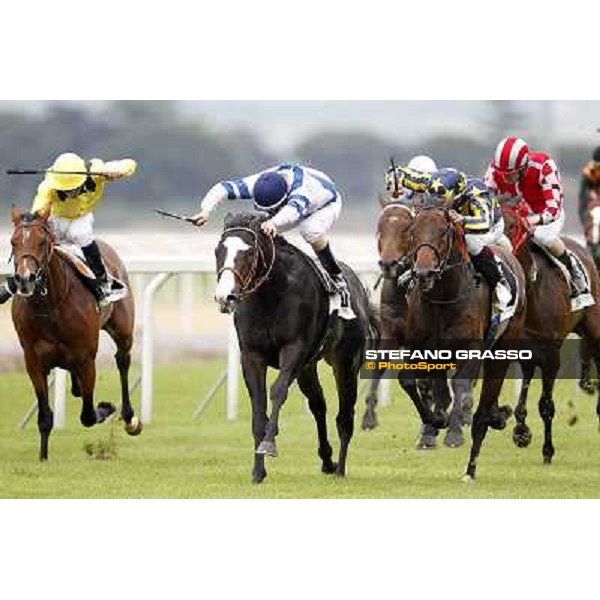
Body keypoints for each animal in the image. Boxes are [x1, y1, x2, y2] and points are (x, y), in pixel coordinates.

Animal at [9, 205, 143, 460]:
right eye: (13, 242)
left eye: (42, 242)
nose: (25, 279)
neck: (50, 305)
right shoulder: (33, 361)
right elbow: (45, 416)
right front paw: (43, 457)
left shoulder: (86, 358)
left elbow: (88, 415)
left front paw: (107, 407)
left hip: (122, 330)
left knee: (122, 360)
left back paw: (130, 418)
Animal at [213, 211, 378, 482]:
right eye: (218, 250)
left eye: (248, 252)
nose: (224, 297)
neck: (271, 296)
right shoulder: (252, 356)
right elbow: (259, 407)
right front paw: (258, 471)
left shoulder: (294, 350)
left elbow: (278, 391)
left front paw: (269, 443)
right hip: (308, 368)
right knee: (318, 404)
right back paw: (327, 460)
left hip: (345, 362)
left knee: (345, 416)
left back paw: (340, 469)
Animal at [360, 198, 474, 450]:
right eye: (379, 230)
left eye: (405, 231)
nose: (388, 264)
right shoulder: (393, 331)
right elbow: (382, 365)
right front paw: (369, 417)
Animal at [404, 206, 524, 482]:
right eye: (412, 232)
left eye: (443, 232)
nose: (423, 273)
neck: (442, 298)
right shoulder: (420, 348)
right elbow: (411, 383)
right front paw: (436, 421)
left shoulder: (471, 350)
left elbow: (461, 388)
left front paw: (454, 432)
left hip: (502, 349)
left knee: (480, 404)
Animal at [502, 202, 600, 464]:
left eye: (513, 225)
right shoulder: (521, 349)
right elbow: (523, 395)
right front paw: (521, 432)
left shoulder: (551, 355)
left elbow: (546, 405)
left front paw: (547, 450)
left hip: (593, 328)